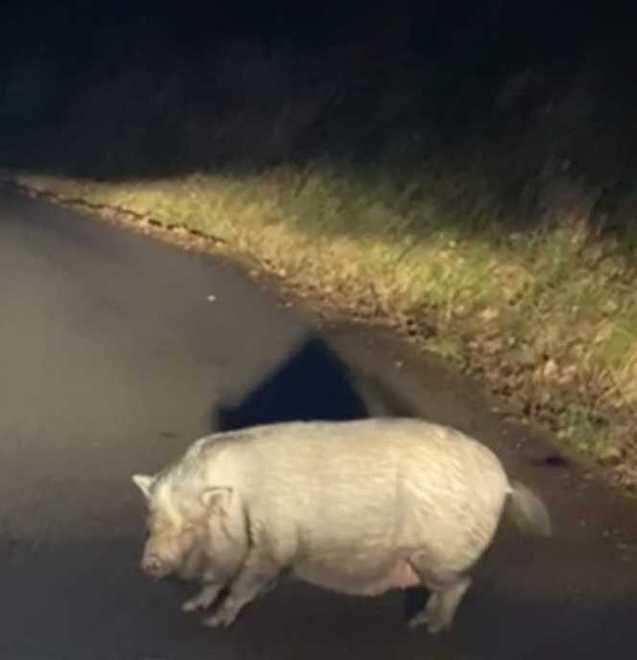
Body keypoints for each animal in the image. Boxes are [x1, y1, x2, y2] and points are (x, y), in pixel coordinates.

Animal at [132, 417, 551, 634]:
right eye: (151, 519)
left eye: (191, 526)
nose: (149, 565)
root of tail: (504, 482)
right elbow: (215, 582)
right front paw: (189, 607)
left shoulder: (274, 545)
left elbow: (242, 585)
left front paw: (213, 623)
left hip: (441, 554)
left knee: (460, 585)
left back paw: (425, 626)